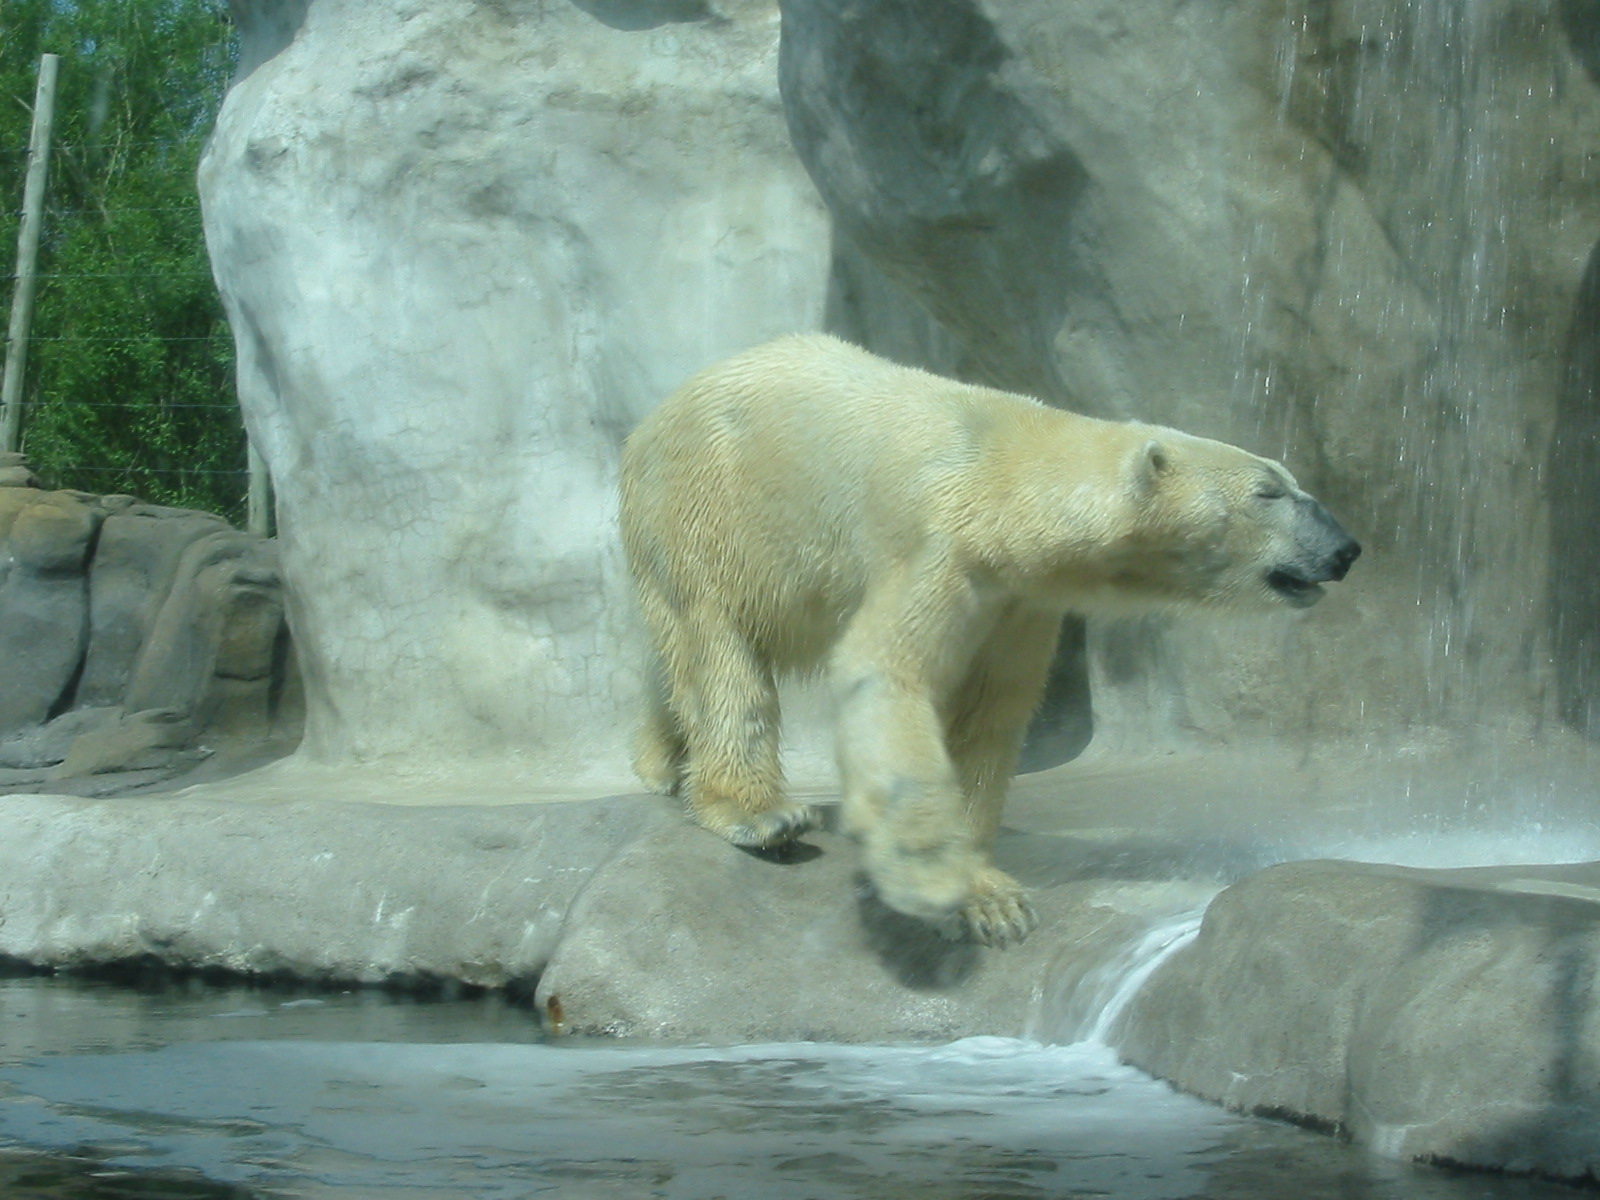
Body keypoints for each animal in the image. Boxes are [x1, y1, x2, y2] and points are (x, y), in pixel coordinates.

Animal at [618, 334, 1359, 947]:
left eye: (1287, 483)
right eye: (1270, 491)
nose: (1346, 548)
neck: (1005, 472)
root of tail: (653, 418)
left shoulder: (1017, 599)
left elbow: (986, 714)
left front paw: (987, 898)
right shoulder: (938, 549)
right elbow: (887, 675)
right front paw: (935, 883)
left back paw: (662, 762)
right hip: (706, 506)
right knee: (716, 648)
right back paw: (759, 814)